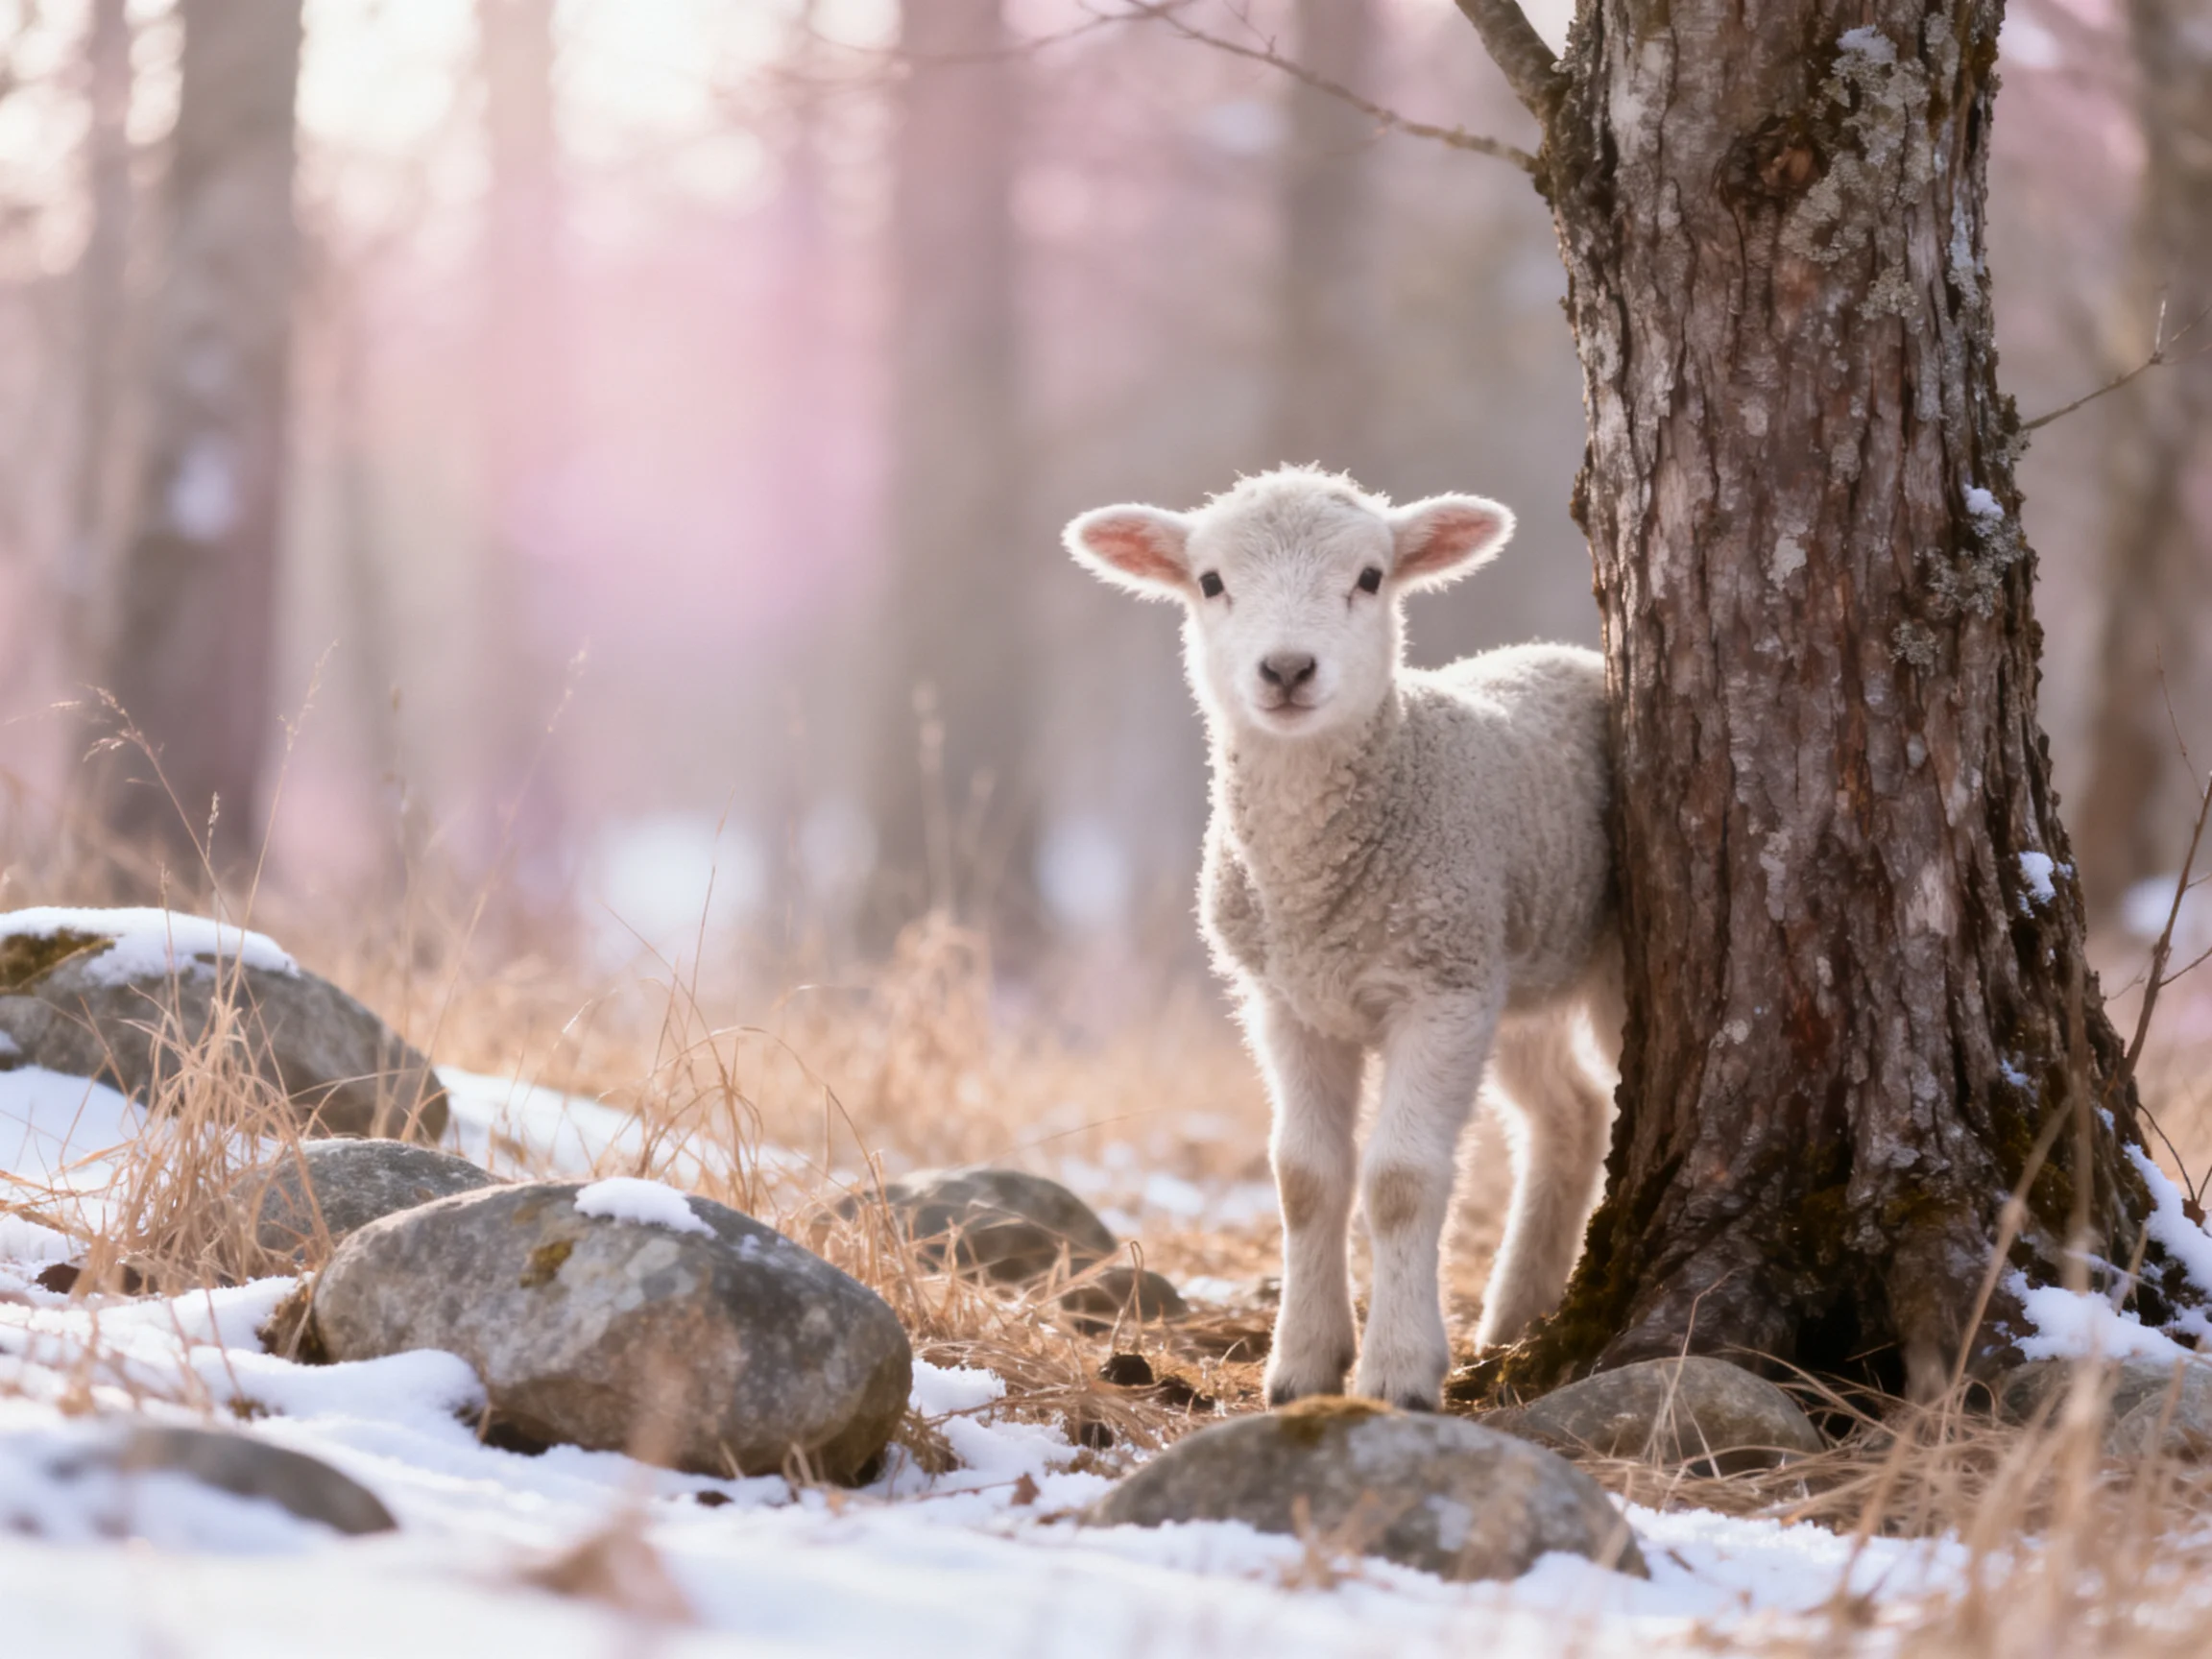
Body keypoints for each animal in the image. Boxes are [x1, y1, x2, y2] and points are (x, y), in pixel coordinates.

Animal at [1063, 465, 1619, 1410]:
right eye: (1210, 581)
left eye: (1369, 577)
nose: (1287, 668)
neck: (1316, 892)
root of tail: (1569, 653)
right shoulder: (1287, 1001)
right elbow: (1305, 1178)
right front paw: (1303, 1364)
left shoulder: (1440, 990)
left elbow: (1399, 1181)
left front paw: (1398, 1371)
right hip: (1515, 962)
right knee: (1570, 1113)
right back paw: (1516, 1318)